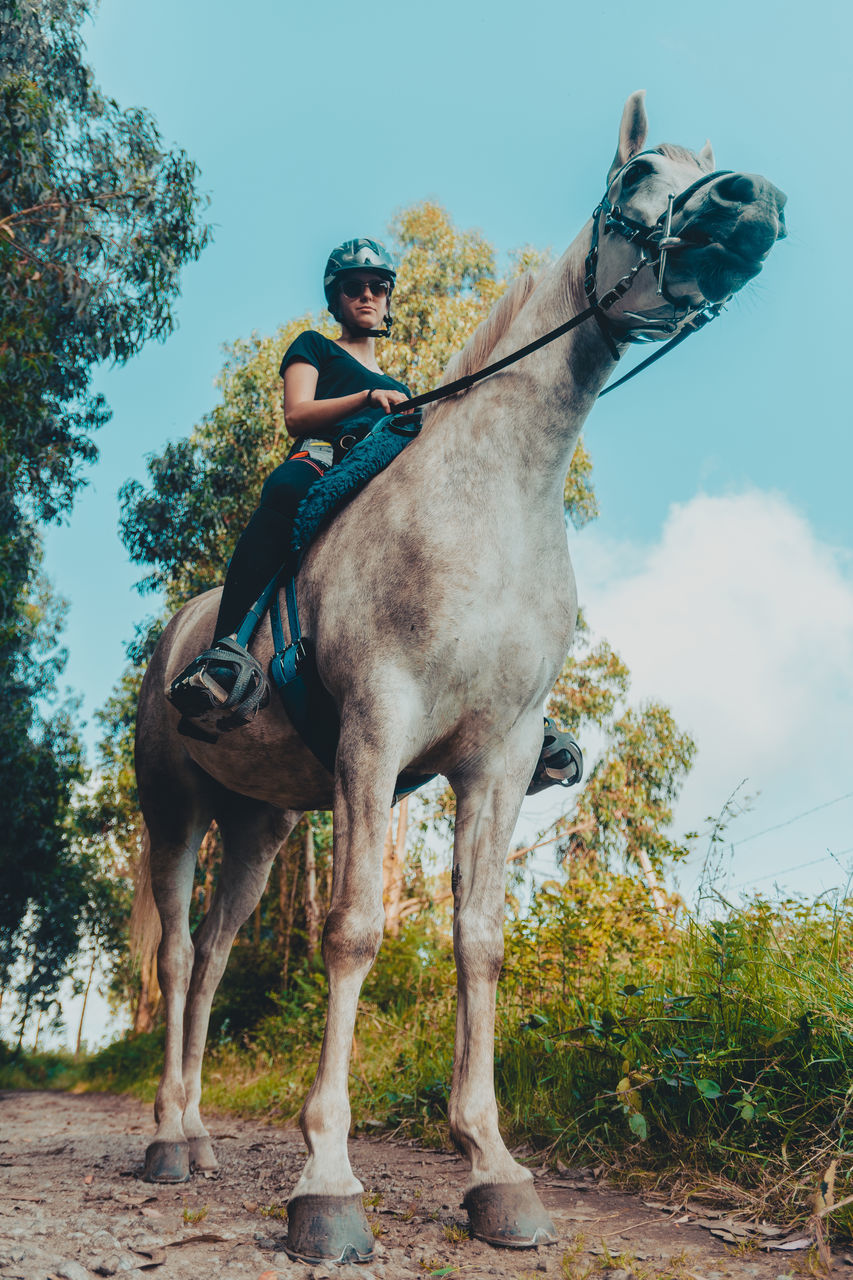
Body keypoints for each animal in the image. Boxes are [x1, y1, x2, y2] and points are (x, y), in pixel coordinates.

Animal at [133, 94, 783, 1264]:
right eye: (638, 177)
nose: (750, 203)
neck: (492, 501)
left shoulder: (500, 755)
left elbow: (478, 941)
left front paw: (493, 1168)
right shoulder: (374, 733)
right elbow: (353, 932)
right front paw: (326, 1181)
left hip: (258, 828)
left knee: (209, 958)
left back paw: (198, 1132)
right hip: (175, 811)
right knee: (171, 957)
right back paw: (166, 1138)